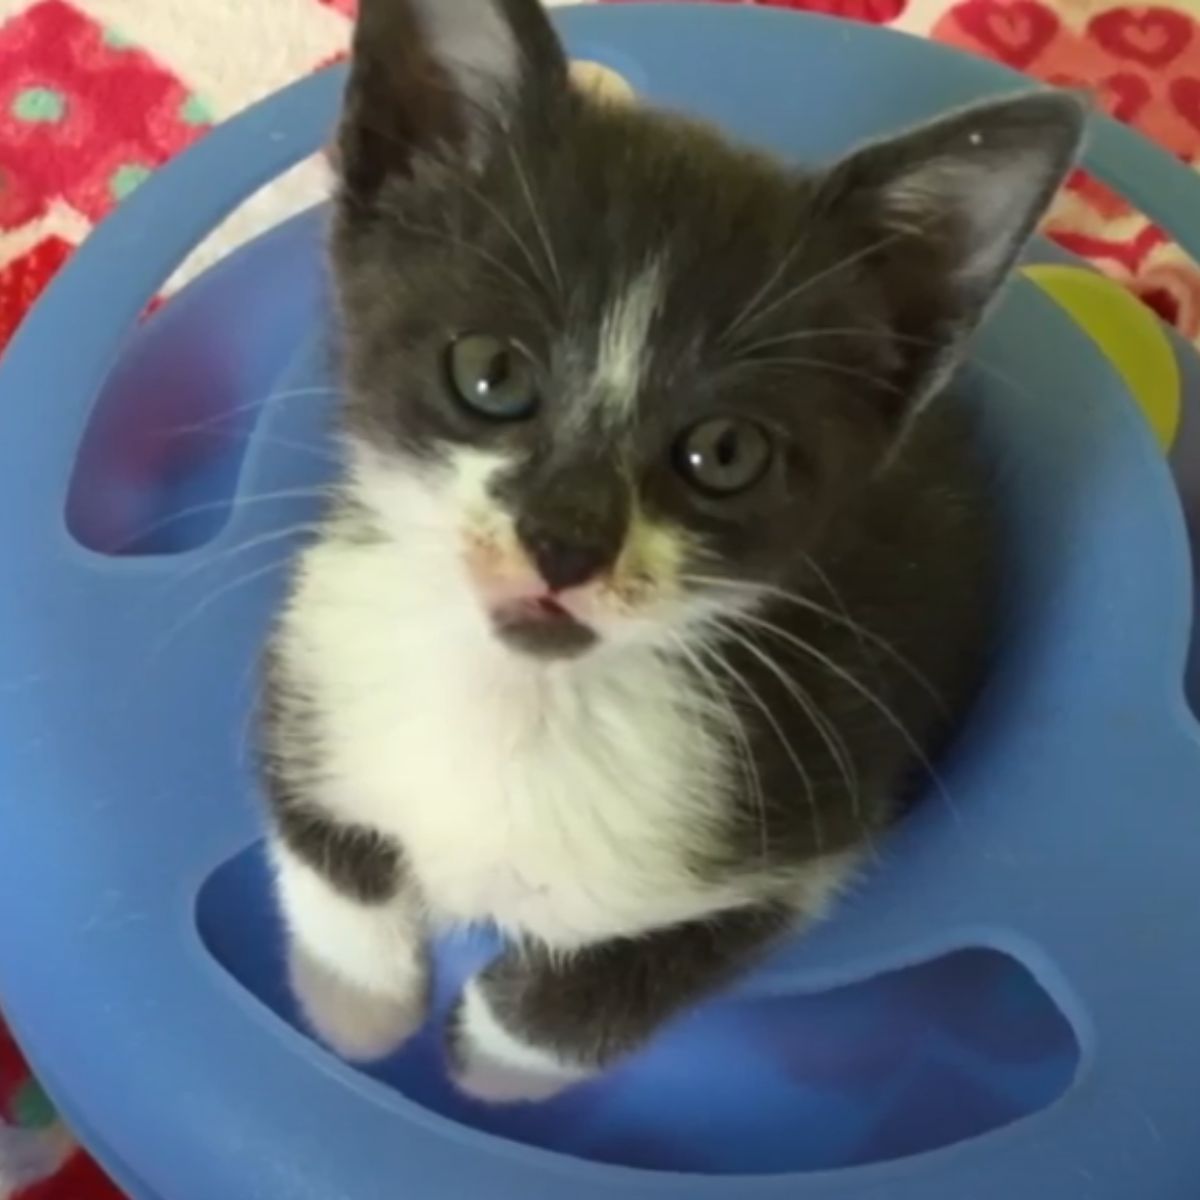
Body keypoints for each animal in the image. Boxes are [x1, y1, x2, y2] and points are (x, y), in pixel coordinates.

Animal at [262, 0, 1089, 1104]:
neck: (529, 705)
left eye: (725, 453)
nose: (566, 539)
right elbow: (317, 836)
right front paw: (357, 1010)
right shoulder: (311, 651)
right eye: (491, 374)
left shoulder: (808, 826)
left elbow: (622, 980)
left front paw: (487, 1059)